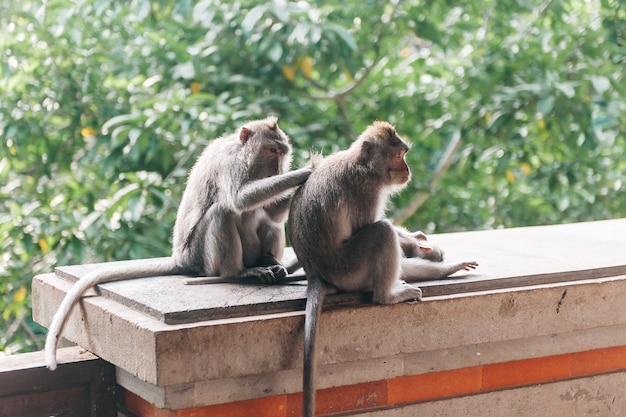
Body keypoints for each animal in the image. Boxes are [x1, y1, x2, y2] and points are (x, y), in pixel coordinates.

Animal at [42, 115, 310, 368]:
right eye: (271, 151)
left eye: (282, 153)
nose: (278, 170)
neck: (244, 155)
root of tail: (181, 261)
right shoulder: (230, 163)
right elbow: (240, 198)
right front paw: (307, 170)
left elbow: (273, 214)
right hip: (200, 257)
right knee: (222, 213)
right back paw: (239, 273)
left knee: (268, 220)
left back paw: (269, 261)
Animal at [288, 121, 478, 416]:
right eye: (399, 155)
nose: (408, 169)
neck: (362, 164)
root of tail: (315, 274)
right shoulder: (365, 190)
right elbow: (368, 226)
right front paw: (414, 243)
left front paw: (423, 245)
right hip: (350, 270)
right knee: (380, 232)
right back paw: (387, 296)